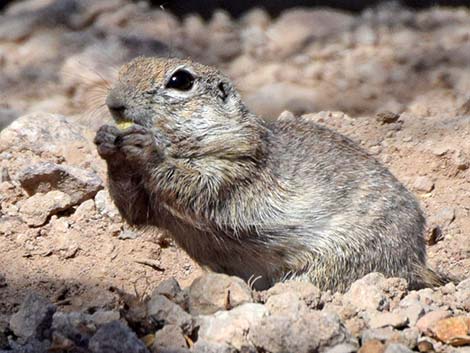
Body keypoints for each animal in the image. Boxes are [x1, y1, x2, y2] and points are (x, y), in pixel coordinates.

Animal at [94, 56, 448, 290]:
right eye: (126, 66)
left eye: (181, 81)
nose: (114, 103)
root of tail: (415, 262)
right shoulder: (152, 203)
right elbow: (135, 210)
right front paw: (106, 142)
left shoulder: (236, 169)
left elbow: (195, 186)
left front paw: (146, 148)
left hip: (344, 261)